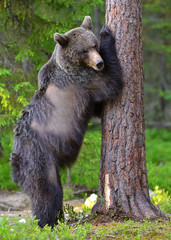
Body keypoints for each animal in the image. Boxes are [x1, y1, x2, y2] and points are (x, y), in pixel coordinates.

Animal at [10, 15, 123, 228]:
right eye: (84, 50)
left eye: (93, 45)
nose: (99, 63)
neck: (71, 64)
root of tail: (15, 162)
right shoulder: (82, 81)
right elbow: (111, 83)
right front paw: (106, 33)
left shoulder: (86, 93)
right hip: (38, 156)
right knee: (47, 190)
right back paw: (48, 222)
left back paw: (59, 218)